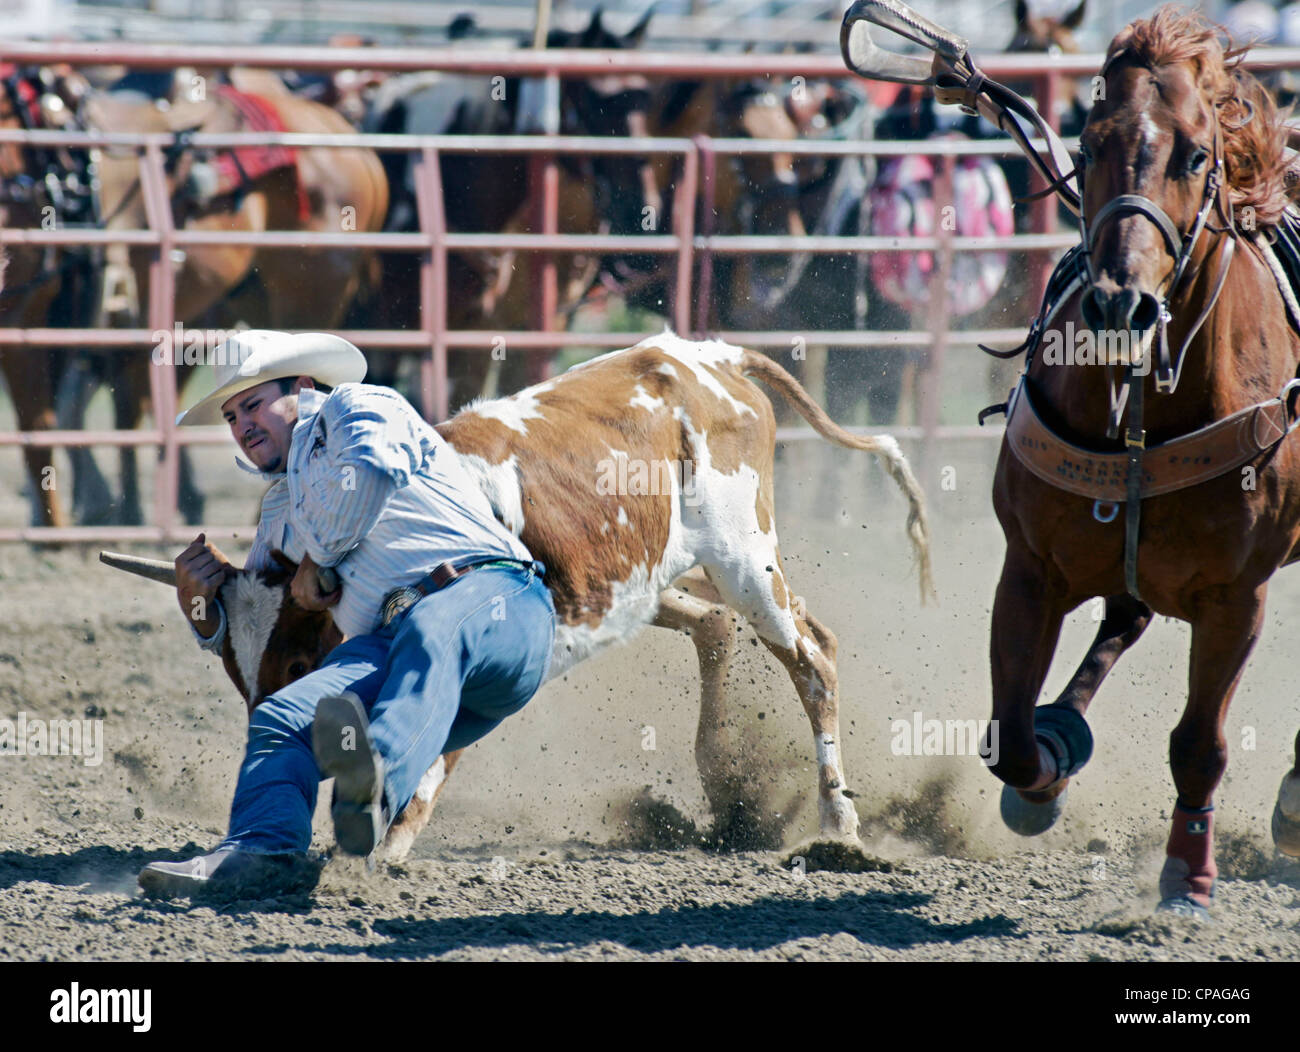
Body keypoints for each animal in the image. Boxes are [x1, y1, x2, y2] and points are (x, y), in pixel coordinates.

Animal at [982, 6, 1300, 910]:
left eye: (1195, 153)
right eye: (1088, 144)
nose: (1120, 304)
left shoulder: (1238, 597)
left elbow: (1200, 742)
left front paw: (1188, 873)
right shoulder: (1029, 567)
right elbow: (1013, 734)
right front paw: (1049, 761)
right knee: (1123, 615)